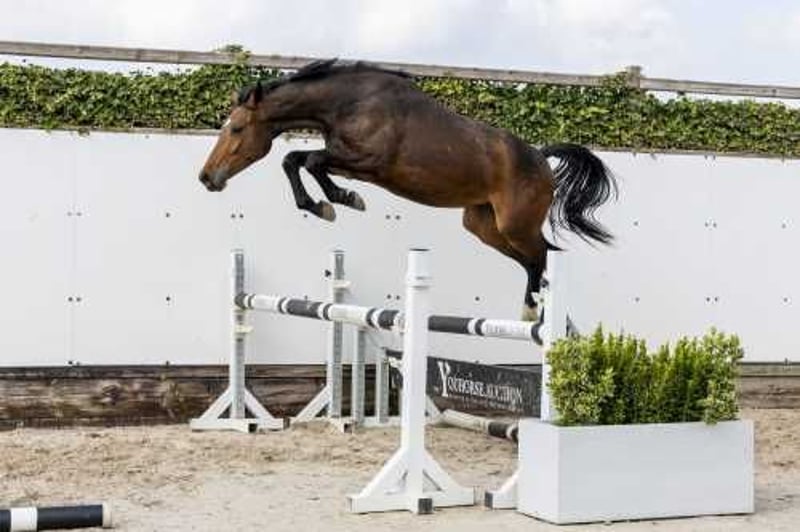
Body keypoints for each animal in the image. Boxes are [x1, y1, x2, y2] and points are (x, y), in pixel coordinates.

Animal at [199, 59, 616, 320]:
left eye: (237, 129)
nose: (206, 177)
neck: (349, 103)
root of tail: (541, 159)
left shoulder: (367, 161)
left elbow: (311, 161)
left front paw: (339, 201)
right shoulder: (350, 162)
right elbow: (295, 161)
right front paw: (330, 203)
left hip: (516, 225)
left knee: (544, 255)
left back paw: (534, 311)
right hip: (485, 227)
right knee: (532, 260)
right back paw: (533, 309)